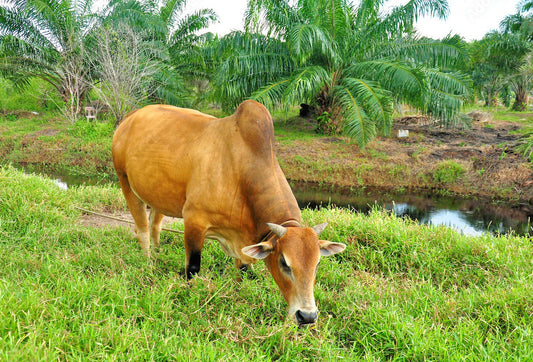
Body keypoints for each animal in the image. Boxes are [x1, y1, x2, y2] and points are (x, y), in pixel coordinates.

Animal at [111, 99, 344, 326]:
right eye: (284, 262)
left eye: (317, 263)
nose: (307, 316)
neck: (242, 170)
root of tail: (131, 115)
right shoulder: (194, 220)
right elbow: (192, 267)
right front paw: (190, 294)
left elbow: (242, 271)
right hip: (125, 181)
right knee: (142, 228)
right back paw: (148, 262)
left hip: (160, 195)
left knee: (155, 224)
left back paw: (158, 253)